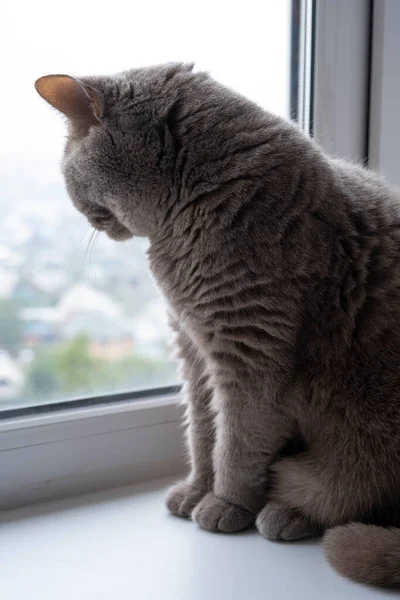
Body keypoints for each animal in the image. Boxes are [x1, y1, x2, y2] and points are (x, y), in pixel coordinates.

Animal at [35, 63, 400, 584]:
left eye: (68, 168)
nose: (86, 218)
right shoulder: (196, 351)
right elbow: (204, 432)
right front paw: (196, 491)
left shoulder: (249, 357)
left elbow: (238, 442)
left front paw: (225, 503)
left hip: (362, 443)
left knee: (344, 492)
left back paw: (287, 513)